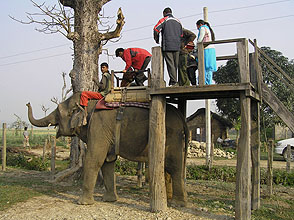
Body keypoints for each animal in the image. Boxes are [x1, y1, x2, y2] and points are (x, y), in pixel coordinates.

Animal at [27, 92, 188, 206]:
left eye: (59, 112)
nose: (27, 102)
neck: (90, 104)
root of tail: (181, 117)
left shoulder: (98, 126)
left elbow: (94, 159)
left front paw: (82, 203)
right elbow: (108, 162)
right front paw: (110, 200)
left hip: (172, 137)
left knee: (174, 166)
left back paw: (177, 204)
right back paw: (175, 201)